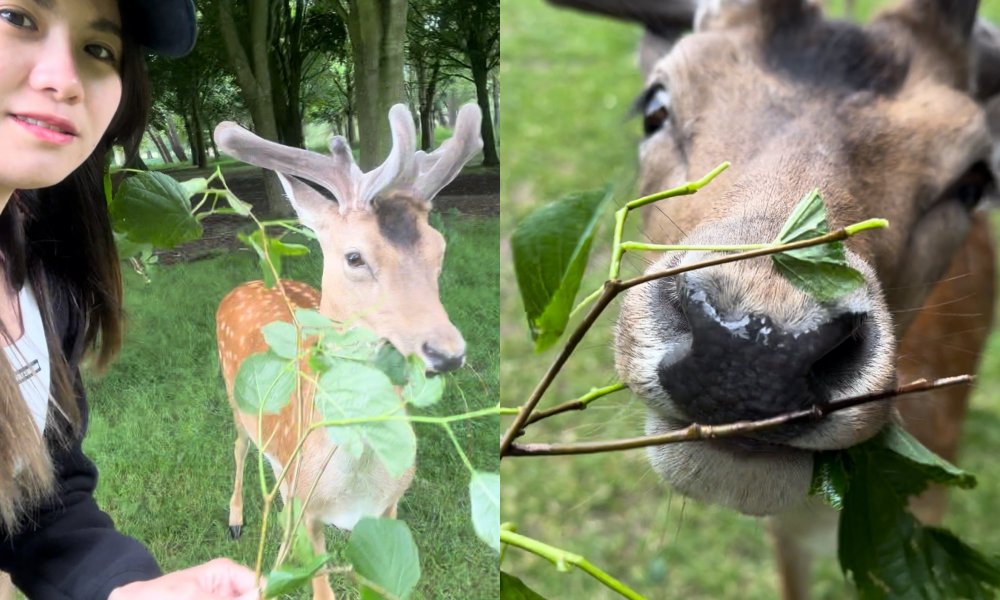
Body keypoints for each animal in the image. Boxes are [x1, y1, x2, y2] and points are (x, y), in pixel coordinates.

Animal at [212, 104, 484, 600]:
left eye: (438, 248)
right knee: (240, 447)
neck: (355, 487)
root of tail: (247, 282)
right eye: (354, 257)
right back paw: (237, 519)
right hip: (234, 395)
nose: (448, 352)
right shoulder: (309, 515)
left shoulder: (390, 508)